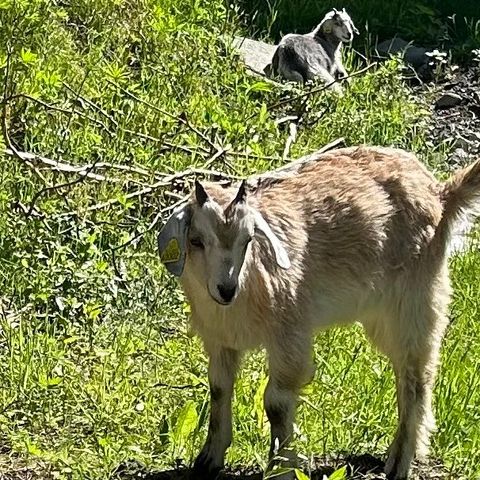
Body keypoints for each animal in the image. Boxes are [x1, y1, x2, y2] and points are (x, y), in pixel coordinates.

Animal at [157, 147, 480, 480]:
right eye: (196, 241)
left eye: (248, 239)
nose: (226, 289)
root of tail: (440, 195)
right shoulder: (219, 339)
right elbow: (219, 388)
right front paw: (207, 460)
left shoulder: (290, 334)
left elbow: (276, 403)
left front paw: (280, 469)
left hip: (414, 301)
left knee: (416, 377)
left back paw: (399, 463)